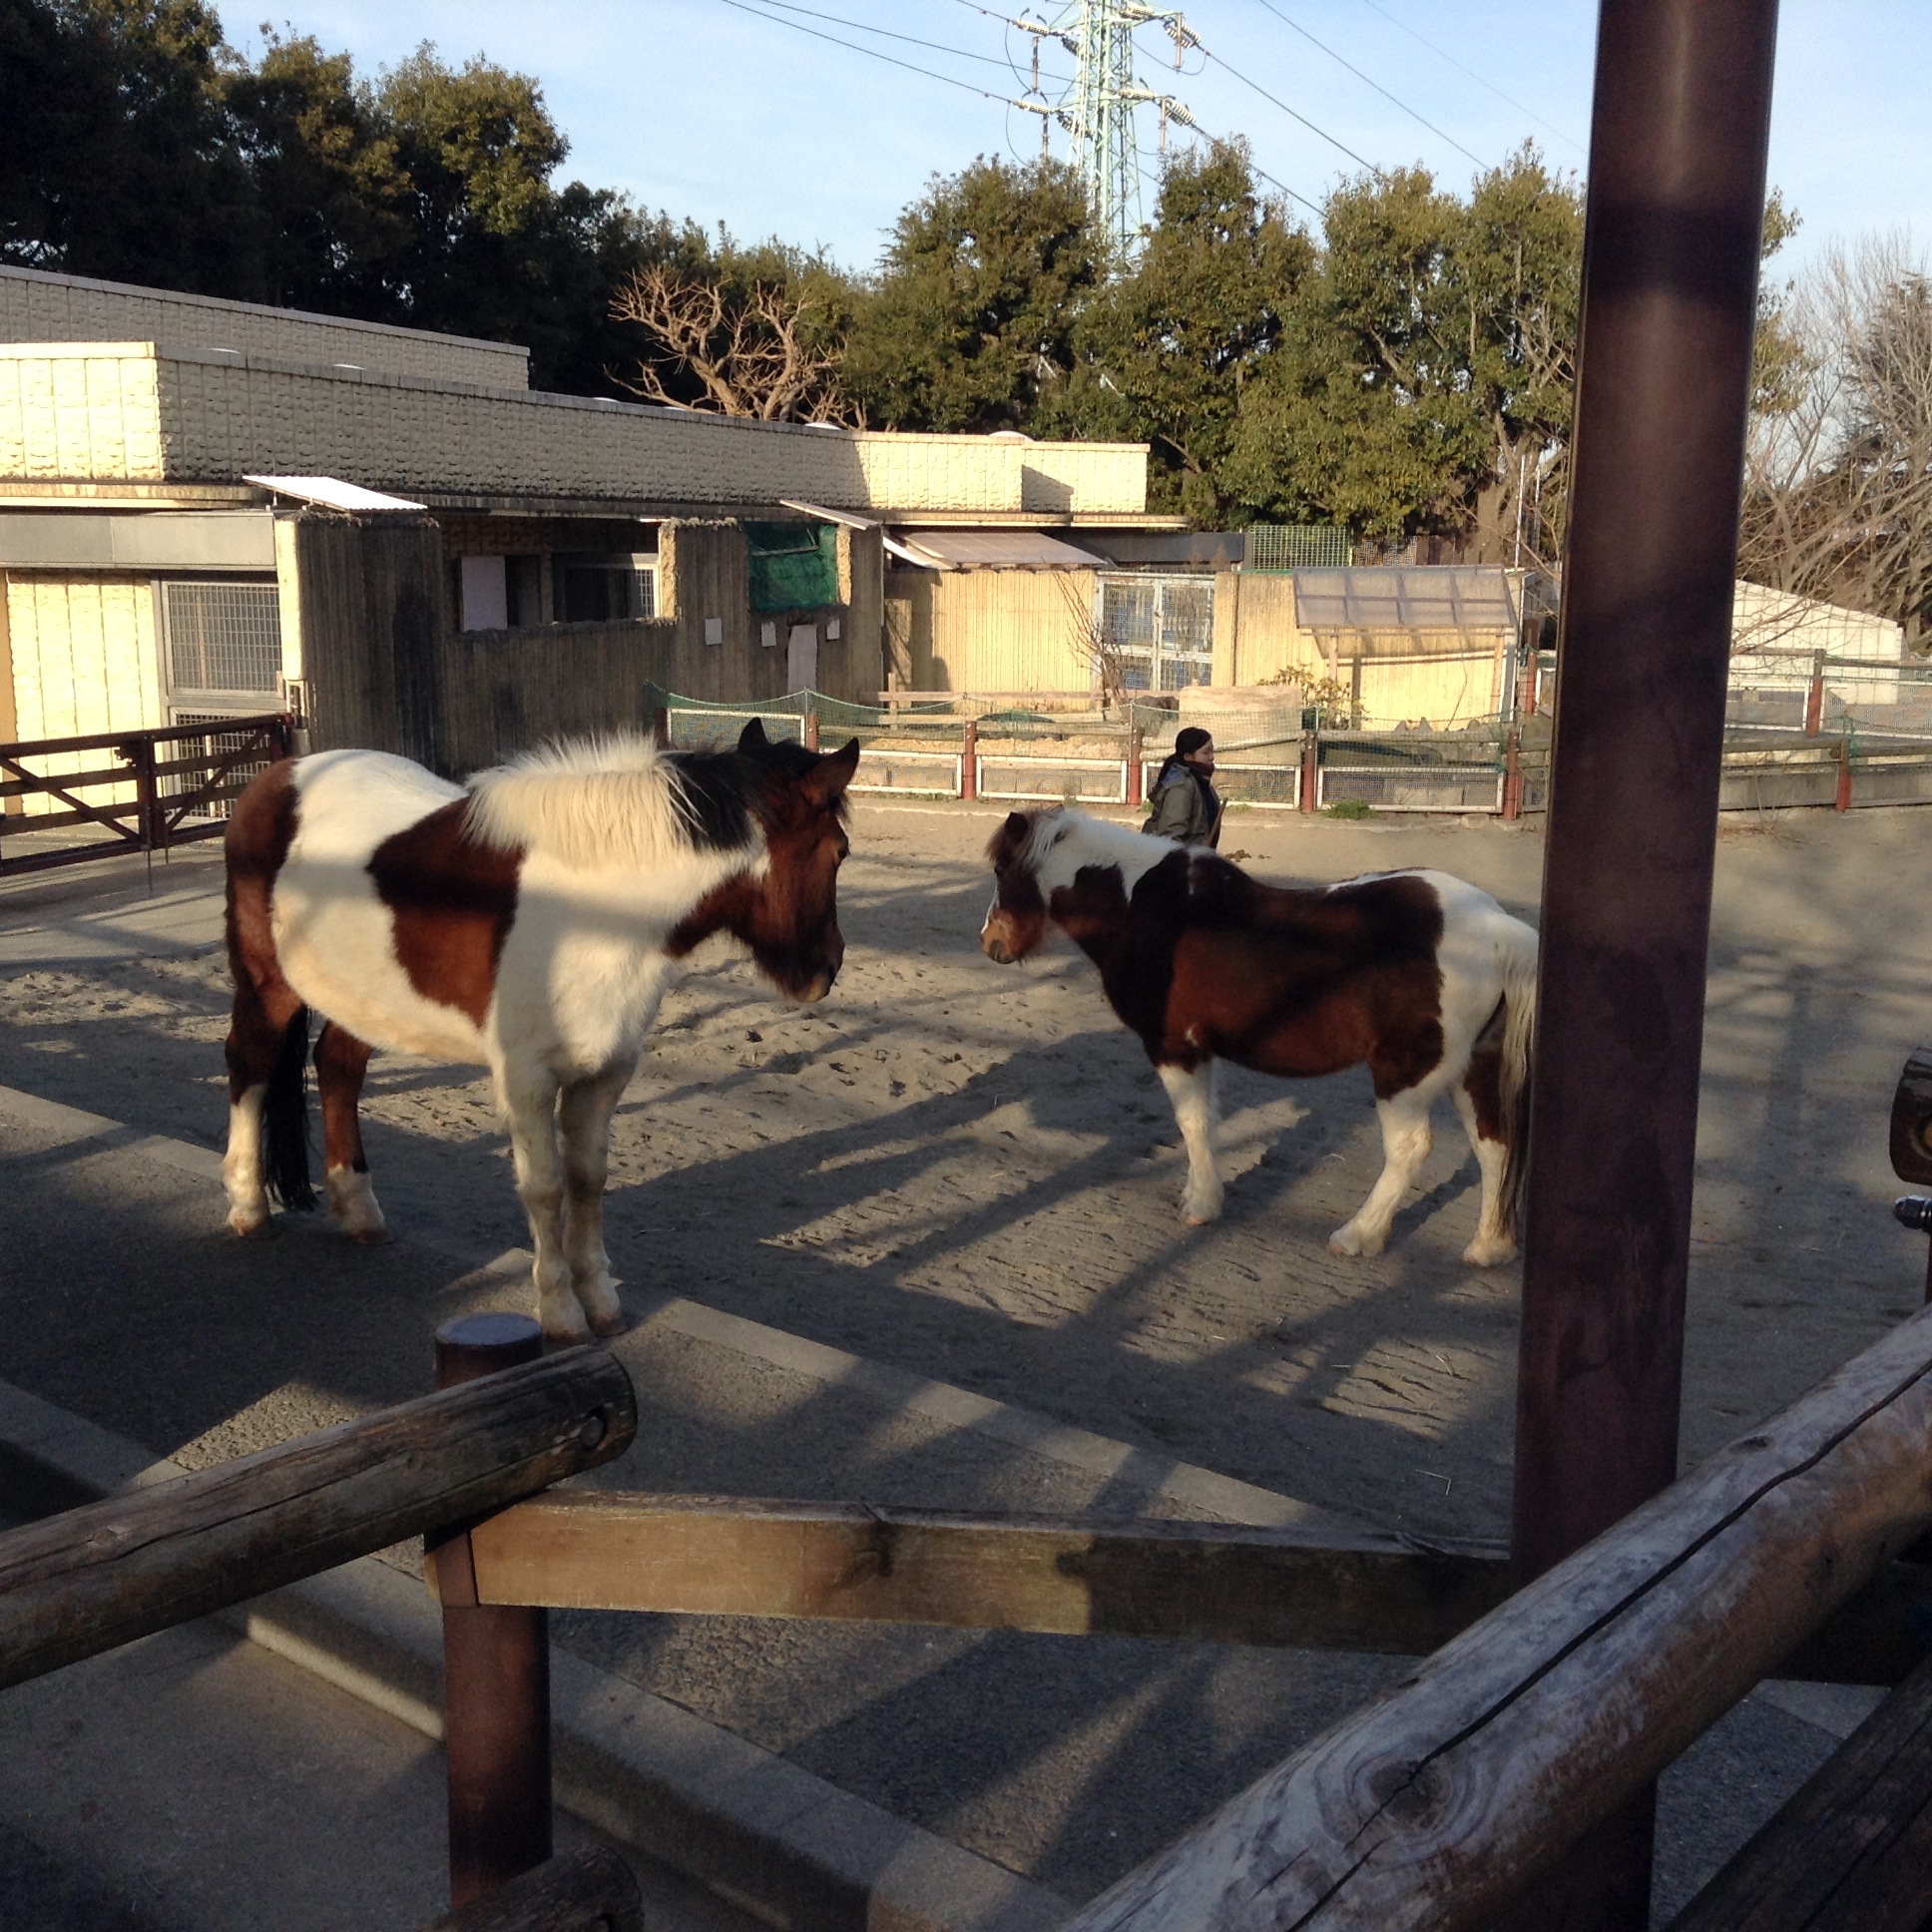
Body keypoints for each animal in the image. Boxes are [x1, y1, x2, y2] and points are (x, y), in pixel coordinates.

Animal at [220, 720, 859, 1340]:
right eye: (839, 851)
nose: (825, 970)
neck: (592, 912)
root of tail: (278, 777)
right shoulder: (526, 1079)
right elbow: (545, 1186)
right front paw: (559, 1310)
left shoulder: (604, 1073)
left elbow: (588, 1179)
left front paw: (600, 1301)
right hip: (268, 984)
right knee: (249, 1064)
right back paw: (249, 1207)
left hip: (365, 997)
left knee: (338, 1068)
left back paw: (359, 1210)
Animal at [979, 808, 1538, 1266]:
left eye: (1002, 871)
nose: (991, 944)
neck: (1142, 908)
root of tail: (1496, 926)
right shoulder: (1198, 1050)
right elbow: (1205, 1122)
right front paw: (1198, 1196)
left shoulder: (1173, 1047)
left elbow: (1192, 1123)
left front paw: (1201, 1206)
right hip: (1471, 1068)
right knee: (1492, 1142)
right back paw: (1488, 1247)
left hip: (1404, 1074)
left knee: (1410, 1149)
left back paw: (1358, 1236)